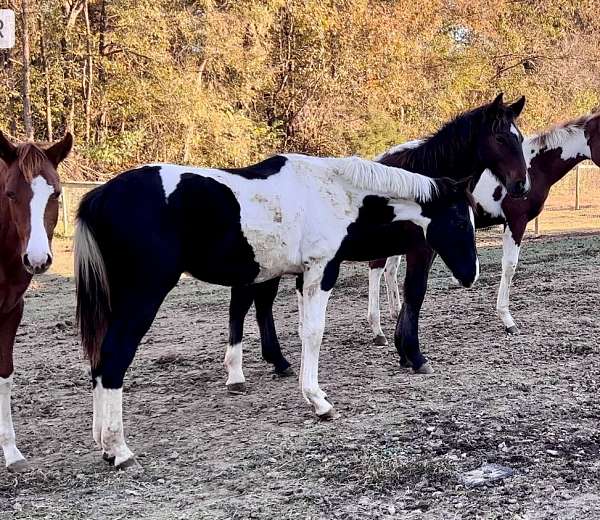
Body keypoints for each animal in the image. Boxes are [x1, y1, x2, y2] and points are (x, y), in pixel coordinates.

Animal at [75, 152, 478, 470]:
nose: (470, 274)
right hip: (143, 297)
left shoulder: (300, 276)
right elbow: (313, 333)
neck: (335, 192)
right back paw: (120, 449)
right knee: (114, 358)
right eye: (460, 221)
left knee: (99, 361)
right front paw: (319, 402)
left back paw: (104, 446)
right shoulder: (320, 271)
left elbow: (300, 330)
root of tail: (98, 196)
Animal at [226, 95, 528, 382]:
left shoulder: (426, 249)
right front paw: (414, 354)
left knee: (261, 304)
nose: (521, 185)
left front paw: (402, 350)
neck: (426, 183)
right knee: (249, 304)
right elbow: (414, 292)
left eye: (520, 137)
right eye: (500, 137)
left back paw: (277, 362)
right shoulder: (419, 250)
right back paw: (244, 371)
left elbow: (410, 294)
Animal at [368, 110, 600, 338]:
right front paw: (508, 320)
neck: (534, 166)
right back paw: (378, 329)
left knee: (390, 269)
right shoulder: (516, 221)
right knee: (377, 267)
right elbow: (509, 265)